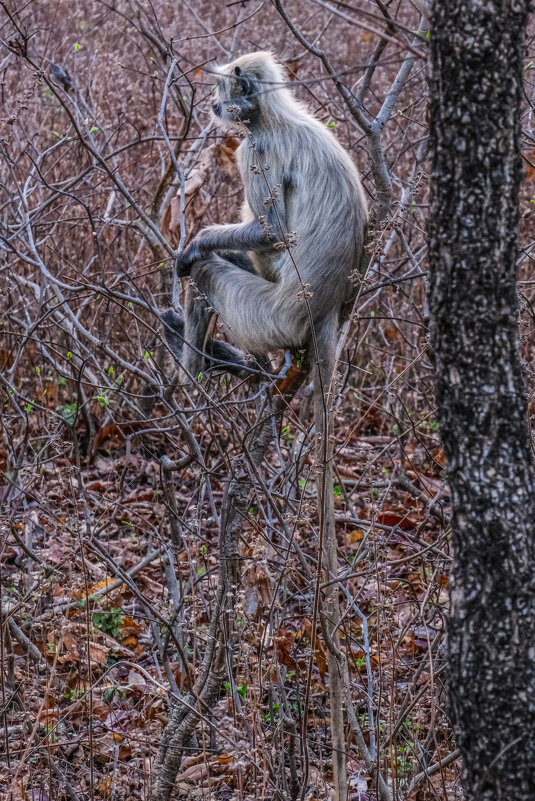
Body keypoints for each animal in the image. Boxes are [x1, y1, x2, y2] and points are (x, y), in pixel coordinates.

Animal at [164, 50, 368, 410]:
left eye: (220, 87)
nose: (213, 103)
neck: (275, 117)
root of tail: (326, 310)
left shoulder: (255, 148)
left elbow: (273, 232)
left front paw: (195, 244)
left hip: (270, 319)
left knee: (204, 269)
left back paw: (191, 369)